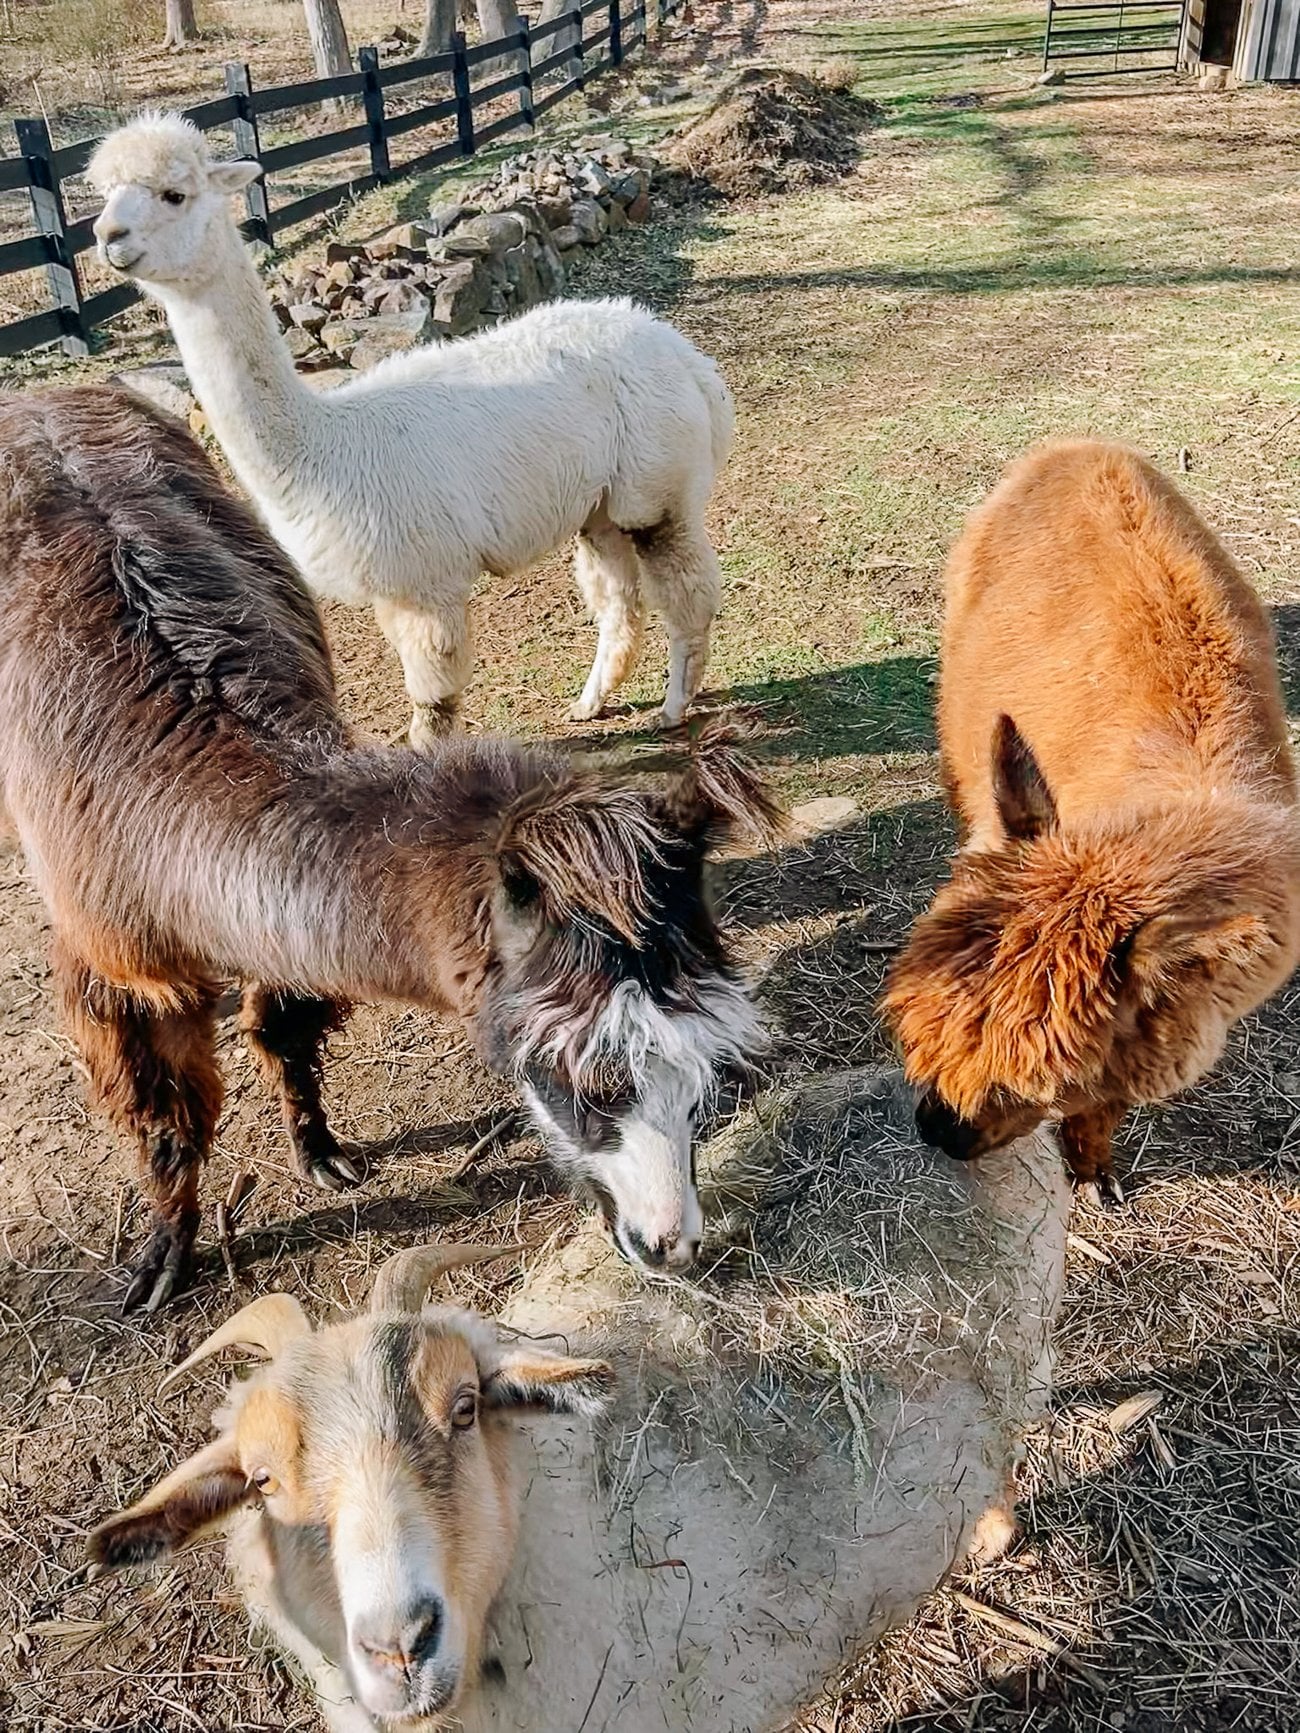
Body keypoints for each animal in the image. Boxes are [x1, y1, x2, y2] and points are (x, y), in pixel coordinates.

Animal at [0, 386, 779, 1312]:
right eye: (589, 1081)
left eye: (703, 1072)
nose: (672, 1243)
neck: (168, 779)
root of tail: (47, 395)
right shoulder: (115, 958)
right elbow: (163, 1118)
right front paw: (165, 1251)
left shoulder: (274, 919)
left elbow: (285, 1026)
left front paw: (317, 1148)